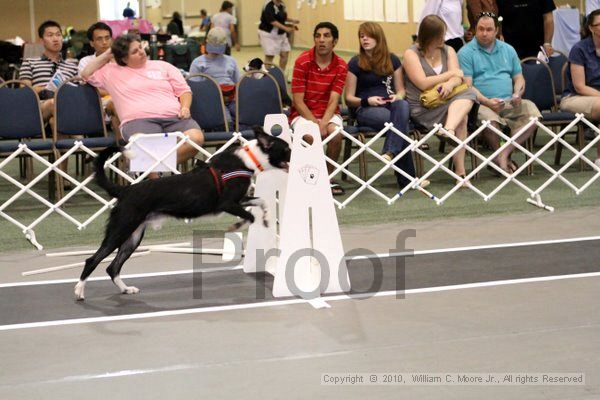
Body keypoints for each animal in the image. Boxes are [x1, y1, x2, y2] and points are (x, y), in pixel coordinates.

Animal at [75, 127, 290, 300]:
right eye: (287, 149)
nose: (294, 156)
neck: (248, 159)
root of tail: (125, 190)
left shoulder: (240, 200)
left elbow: (261, 202)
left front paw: (266, 218)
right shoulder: (227, 203)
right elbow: (249, 216)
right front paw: (238, 225)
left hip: (133, 236)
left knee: (112, 266)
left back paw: (126, 289)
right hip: (121, 229)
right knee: (92, 260)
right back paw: (80, 291)